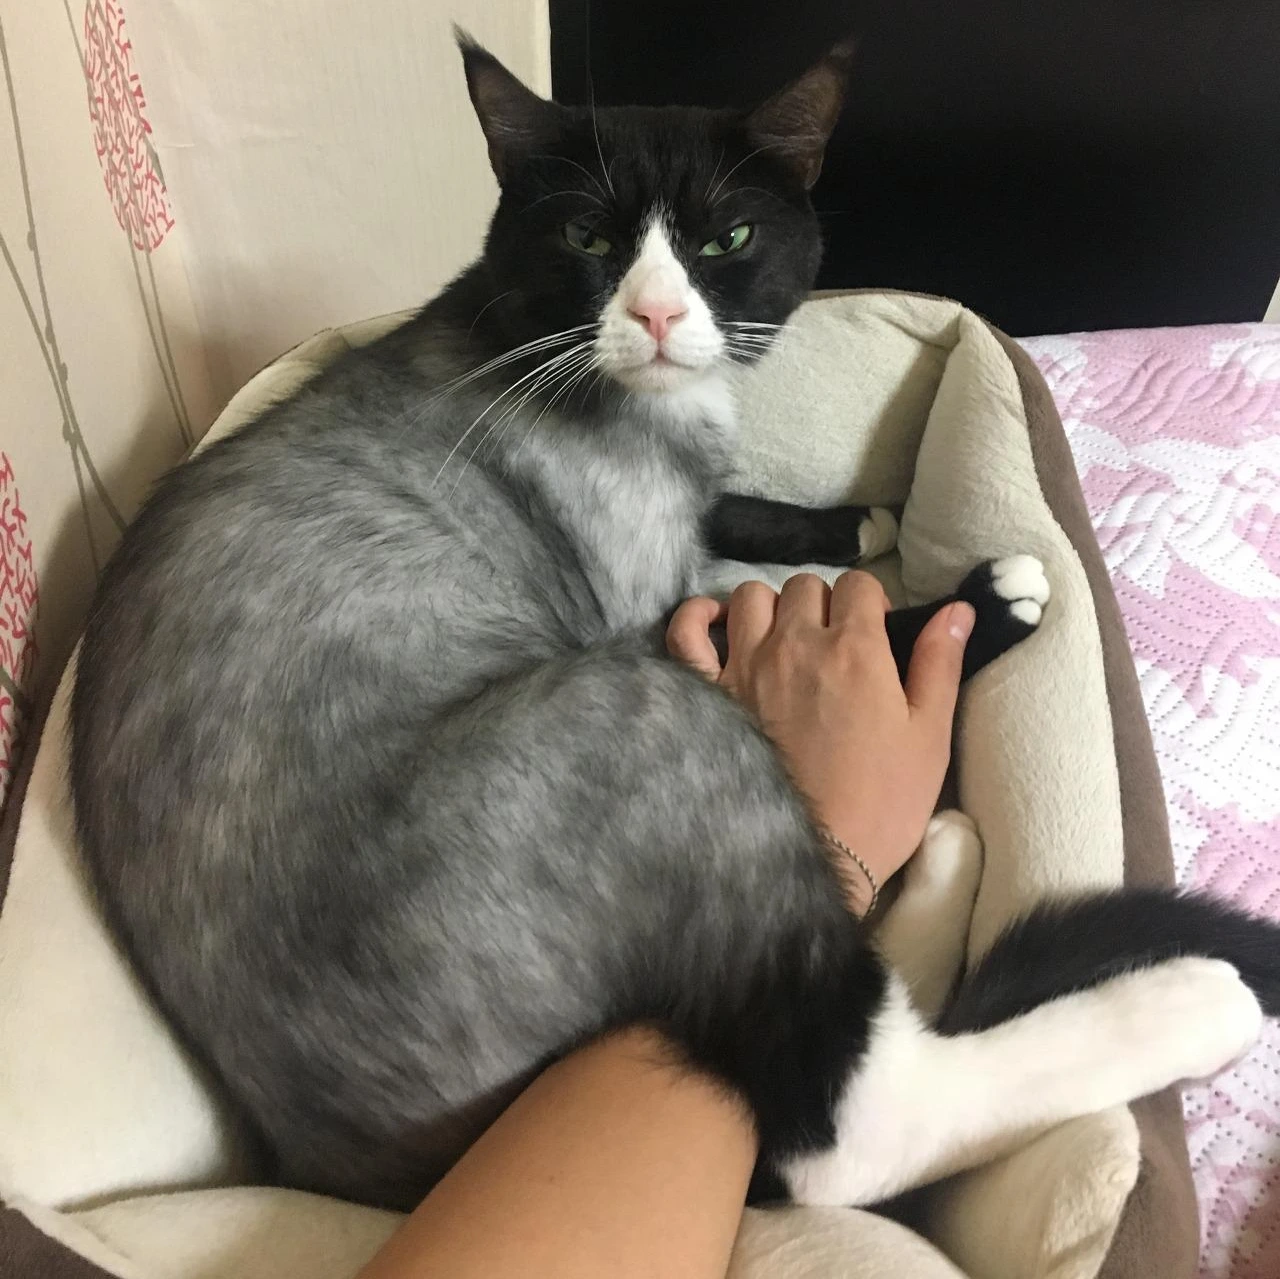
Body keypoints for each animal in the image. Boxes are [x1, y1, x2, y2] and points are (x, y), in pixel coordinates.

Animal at [71, 35, 1279, 1215]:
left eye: (723, 238)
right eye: (589, 237)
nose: (654, 314)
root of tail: (345, 1166)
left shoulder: (696, 518)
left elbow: (733, 505)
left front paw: (852, 518)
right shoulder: (646, 619)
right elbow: (797, 611)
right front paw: (987, 597)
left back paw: (946, 858)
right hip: (646, 712)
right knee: (844, 1128)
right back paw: (1188, 999)